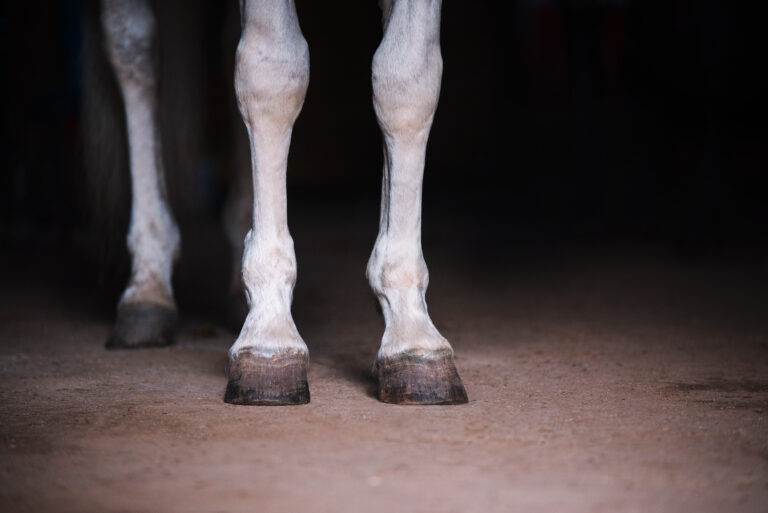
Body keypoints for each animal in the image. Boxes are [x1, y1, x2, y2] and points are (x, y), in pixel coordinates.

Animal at [98, 0, 467, 406]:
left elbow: (407, 79)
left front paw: (412, 334)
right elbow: (272, 70)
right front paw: (270, 335)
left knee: (221, 38)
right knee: (134, 47)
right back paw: (147, 288)